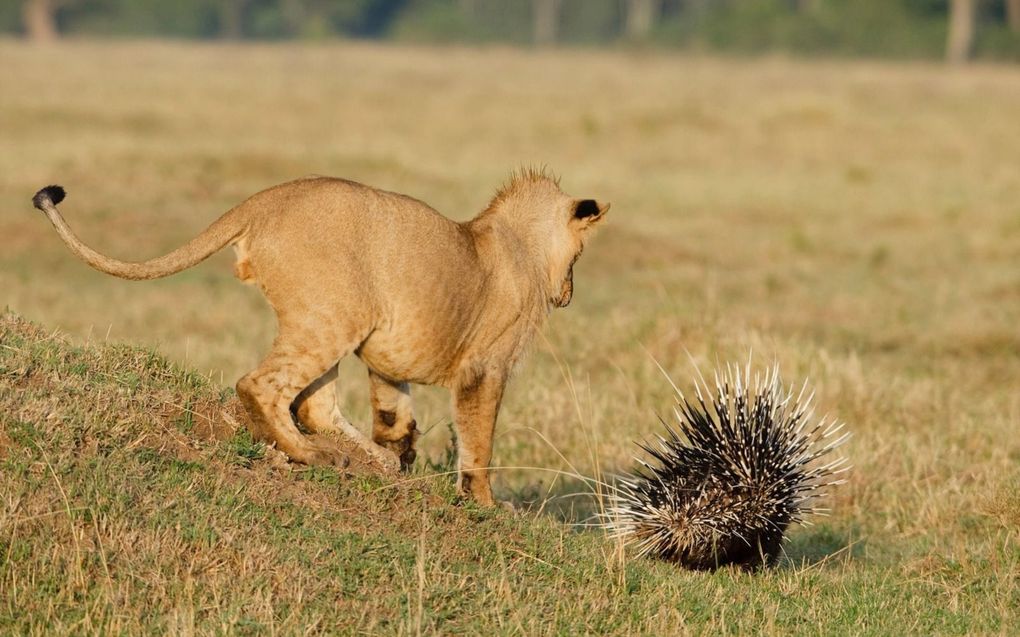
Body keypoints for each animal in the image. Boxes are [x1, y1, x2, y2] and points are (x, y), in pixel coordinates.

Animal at [29, 170, 603, 507]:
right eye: (579, 257)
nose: (571, 294)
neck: (518, 242)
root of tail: (265, 200)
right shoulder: (486, 367)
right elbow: (479, 442)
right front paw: (487, 504)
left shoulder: (386, 357)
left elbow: (393, 414)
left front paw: (402, 454)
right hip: (334, 315)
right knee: (262, 387)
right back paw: (312, 455)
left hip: (333, 316)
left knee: (313, 405)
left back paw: (371, 462)